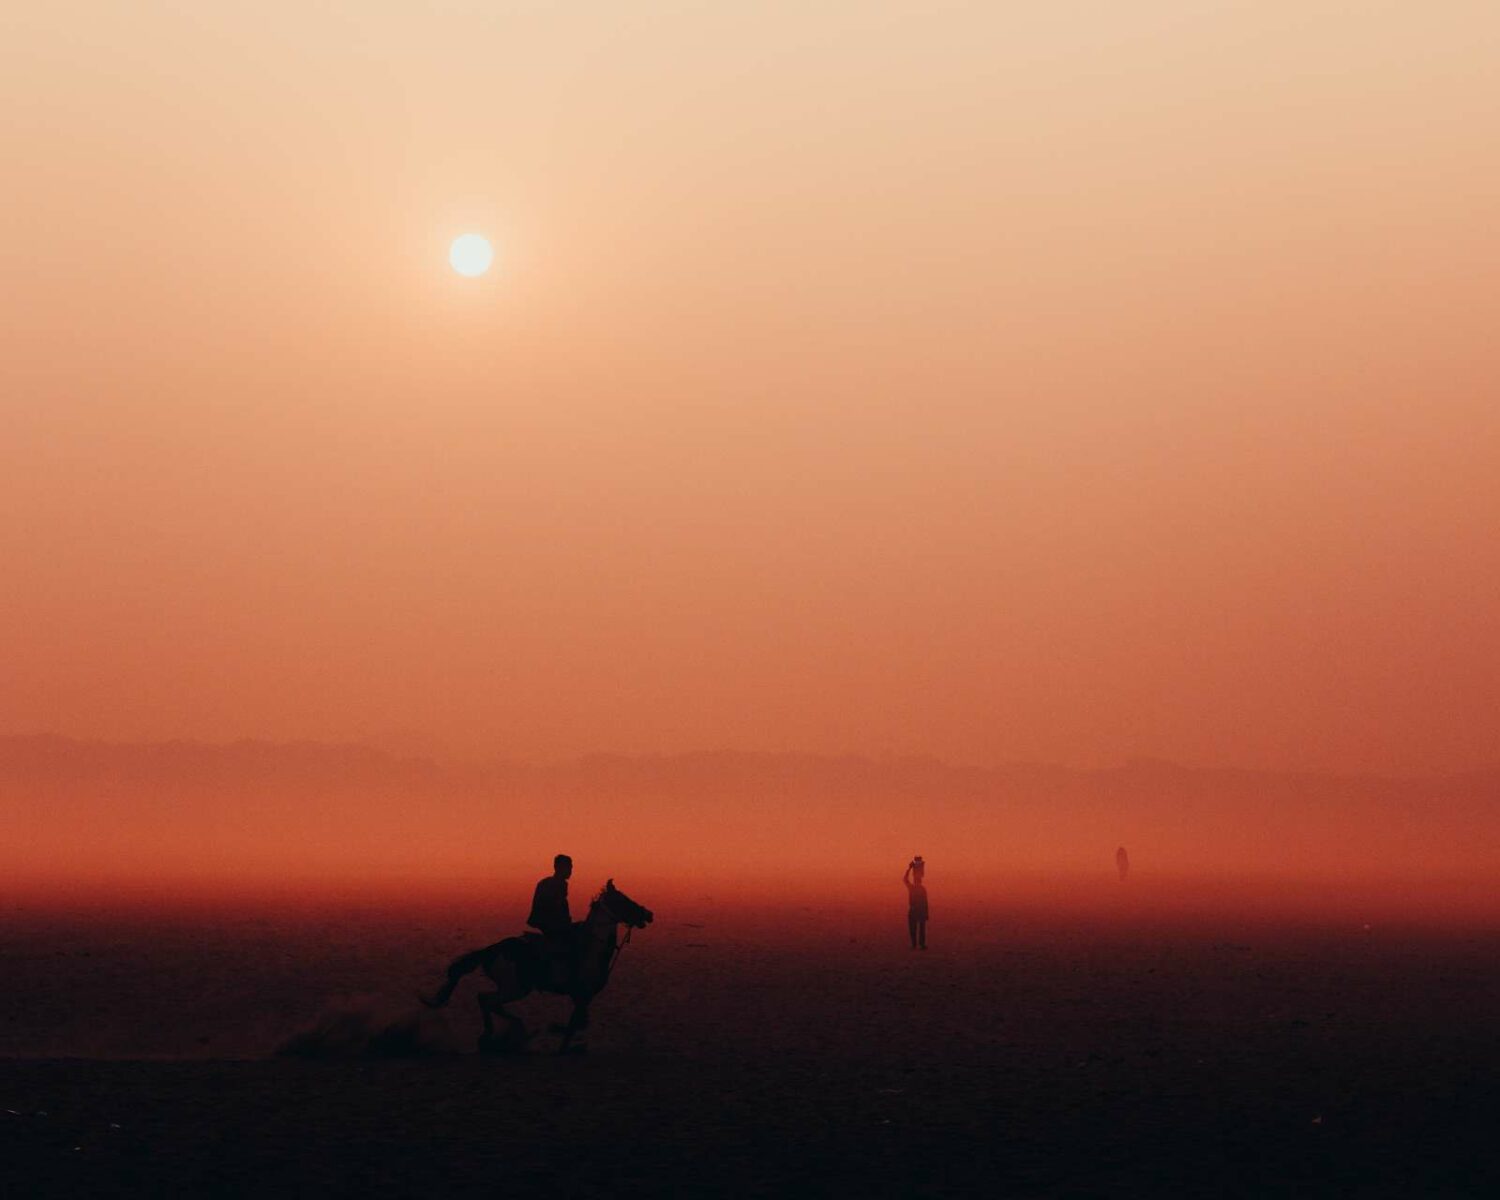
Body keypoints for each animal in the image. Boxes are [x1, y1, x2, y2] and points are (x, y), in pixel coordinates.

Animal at [426, 876, 654, 1056]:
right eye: (623, 899)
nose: (648, 914)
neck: (593, 948)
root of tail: (492, 950)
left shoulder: (582, 996)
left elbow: (579, 1022)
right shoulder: (582, 994)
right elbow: (576, 1024)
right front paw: (560, 1037)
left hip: (513, 989)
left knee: (488, 1001)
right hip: (515, 988)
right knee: (486, 1000)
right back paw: (496, 1035)